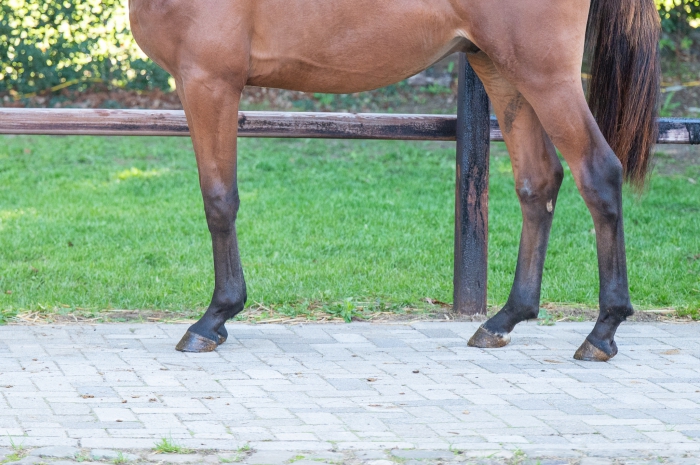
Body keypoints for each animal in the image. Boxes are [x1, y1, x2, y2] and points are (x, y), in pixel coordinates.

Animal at [128, 0, 660, 361]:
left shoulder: (209, 81)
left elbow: (219, 200)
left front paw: (214, 317)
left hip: (545, 75)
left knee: (598, 174)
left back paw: (602, 331)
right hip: (502, 70)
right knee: (538, 182)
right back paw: (504, 319)